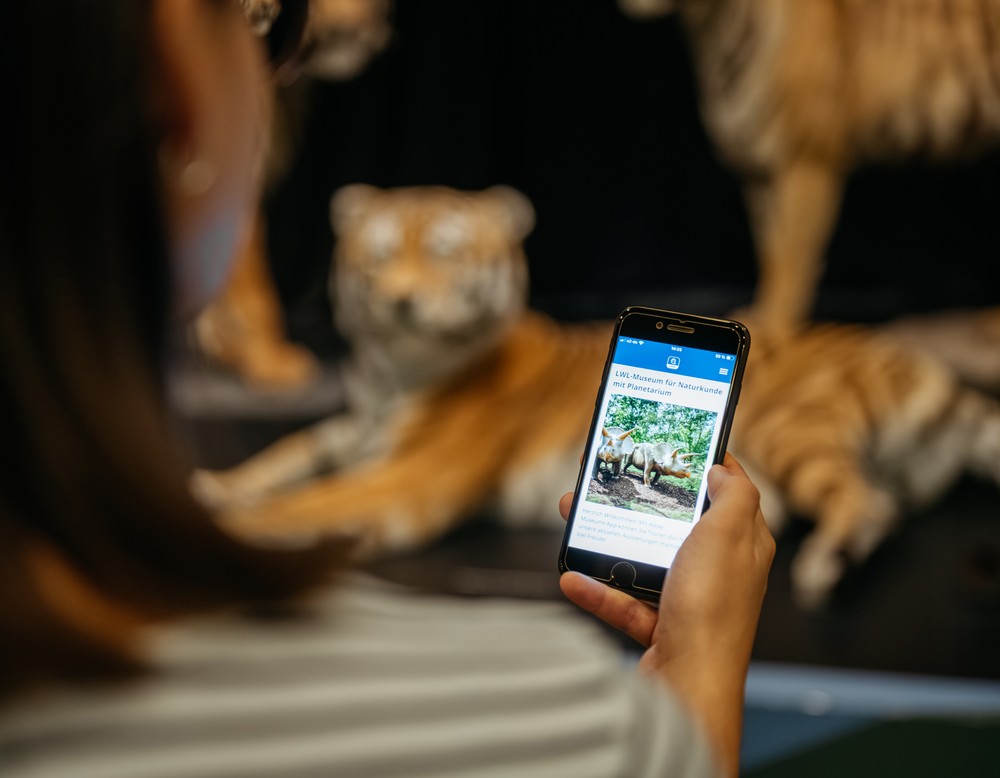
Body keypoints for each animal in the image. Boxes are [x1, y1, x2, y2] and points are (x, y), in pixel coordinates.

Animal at [191, 184, 1000, 610]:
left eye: (447, 254)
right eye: (381, 255)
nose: (399, 300)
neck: (393, 372)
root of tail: (916, 363)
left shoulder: (411, 475)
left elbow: (306, 504)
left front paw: (228, 529)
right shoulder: (350, 431)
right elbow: (284, 454)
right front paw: (211, 484)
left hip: (795, 429)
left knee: (868, 503)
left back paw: (822, 570)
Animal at [618, 0, 1000, 336]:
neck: (710, 31)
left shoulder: (807, 161)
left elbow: (790, 256)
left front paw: (775, 327)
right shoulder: (759, 173)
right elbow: (768, 248)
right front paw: (762, 315)